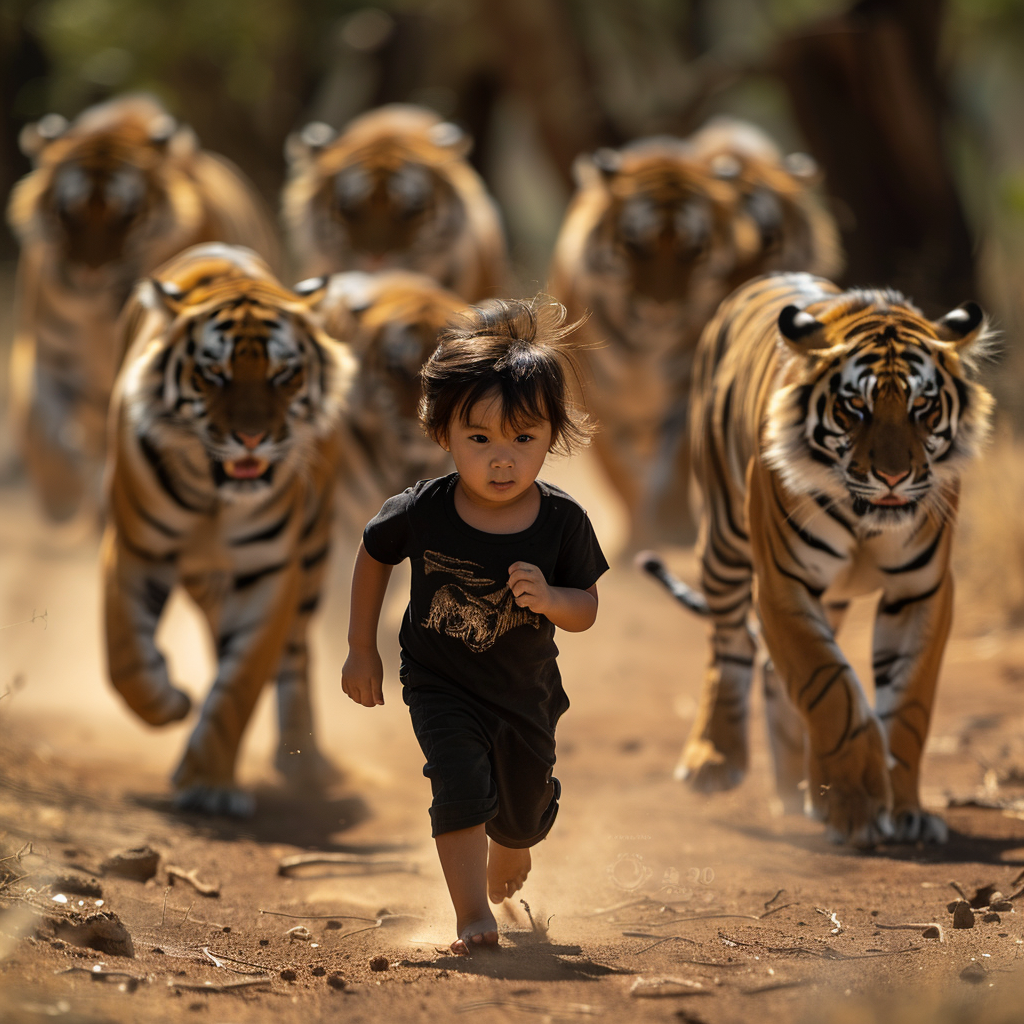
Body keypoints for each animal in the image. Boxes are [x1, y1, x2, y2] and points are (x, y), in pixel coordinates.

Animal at [7, 95, 284, 524]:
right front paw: (61, 501)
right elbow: (43, 428)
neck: (100, 320)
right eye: (68, 213)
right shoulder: (48, 361)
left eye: (127, 215)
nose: (90, 275)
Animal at [100, 239, 356, 815]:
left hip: (312, 558)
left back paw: (304, 763)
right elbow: (124, 657)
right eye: (213, 374)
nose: (252, 438)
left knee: (295, 656)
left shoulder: (269, 571)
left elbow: (240, 683)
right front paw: (171, 701)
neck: (211, 497)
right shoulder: (134, 550)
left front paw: (210, 785)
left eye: (283, 375)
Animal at [638, 272, 991, 847]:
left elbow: (908, 705)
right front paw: (855, 805)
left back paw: (794, 790)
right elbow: (829, 688)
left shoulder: (922, 590)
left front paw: (905, 810)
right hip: (723, 541)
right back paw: (714, 760)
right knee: (731, 645)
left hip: (832, 596)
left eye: (922, 407)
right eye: (856, 408)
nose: (893, 477)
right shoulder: (782, 582)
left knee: (768, 668)